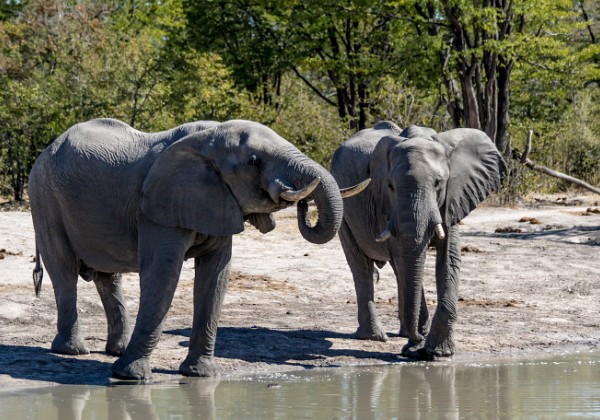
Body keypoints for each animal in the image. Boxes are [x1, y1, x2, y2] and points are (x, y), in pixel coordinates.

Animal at [28, 116, 366, 378]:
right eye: (254, 162)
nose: (301, 201)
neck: (208, 140)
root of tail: (45, 151)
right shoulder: (159, 209)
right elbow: (163, 274)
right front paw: (131, 377)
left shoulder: (217, 200)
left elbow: (215, 277)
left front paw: (200, 375)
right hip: (44, 196)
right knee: (64, 269)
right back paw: (73, 351)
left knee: (107, 278)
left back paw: (115, 350)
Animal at [330, 122, 504, 360]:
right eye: (390, 186)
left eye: (439, 183)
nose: (419, 341)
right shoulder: (388, 206)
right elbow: (405, 262)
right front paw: (417, 349)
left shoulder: (452, 198)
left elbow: (448, 260)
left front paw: (439, 352)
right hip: (343, 208)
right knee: (362, 267)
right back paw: (375, 337)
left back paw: (402, 334)